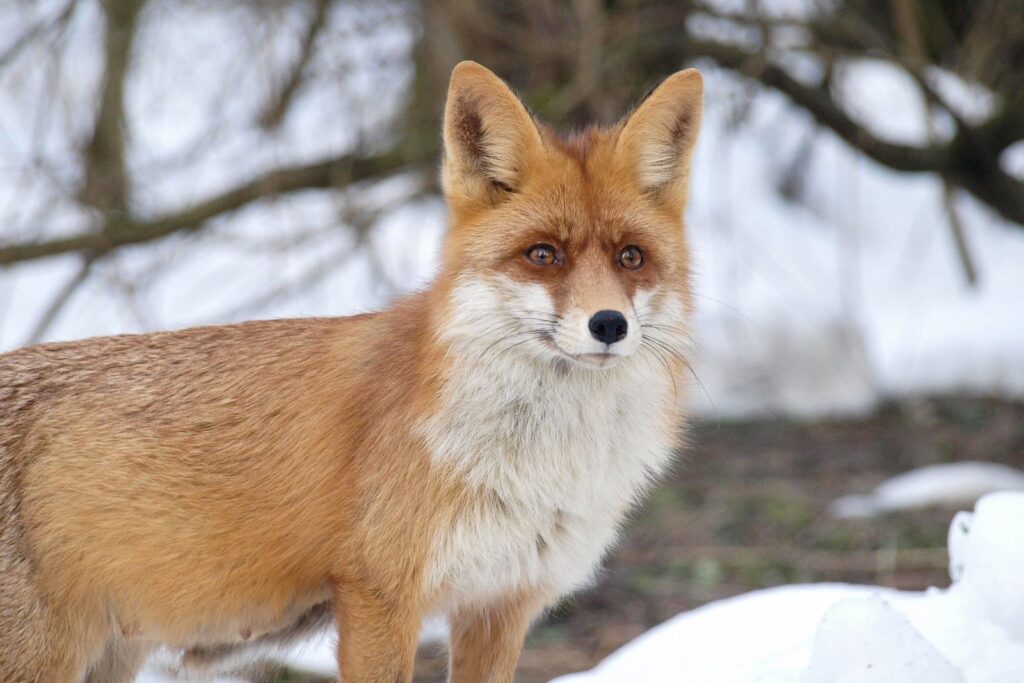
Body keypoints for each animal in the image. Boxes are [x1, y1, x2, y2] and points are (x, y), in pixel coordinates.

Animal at [0, 61, 702, 682]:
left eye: (631, 257)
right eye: (544, 255)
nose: (608, 324)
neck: (536, 465)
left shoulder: (500, 602)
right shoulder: (379, 596)